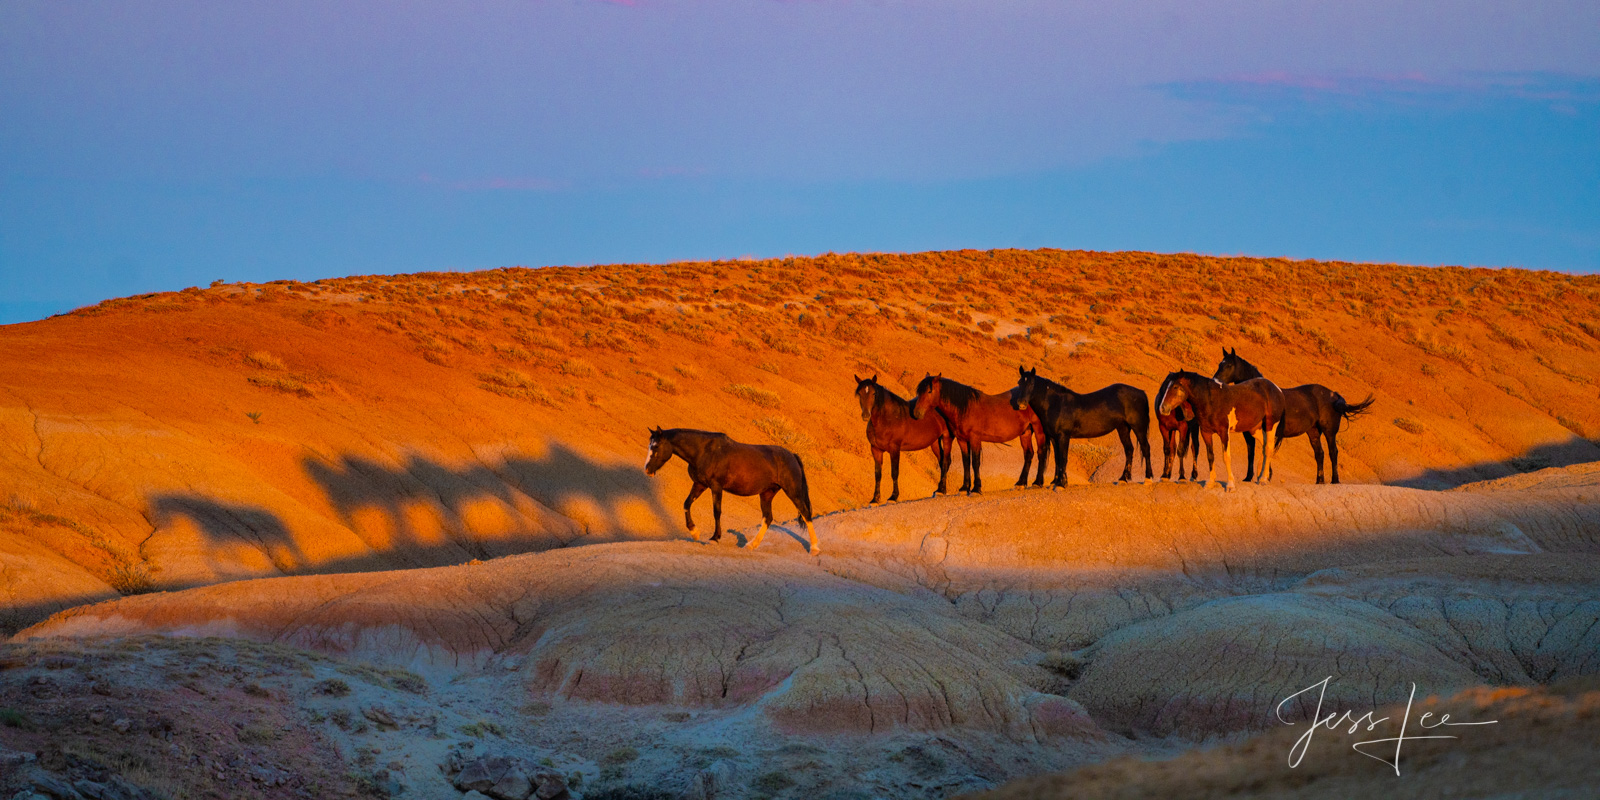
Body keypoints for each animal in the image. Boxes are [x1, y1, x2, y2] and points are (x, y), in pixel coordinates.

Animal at [640, 428, 819, 553]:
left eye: (656, 446)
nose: (647, 470)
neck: (704, 451)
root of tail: (792, 455)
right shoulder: (699, 484)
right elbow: (686, 504)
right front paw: (694, 532)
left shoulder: (716, 486)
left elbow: (716, 511)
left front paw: (714, 537)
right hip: (767, 494)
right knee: (767, 518)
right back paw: (751, 545)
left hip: (793, 491)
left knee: (805, 513)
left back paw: (814, 548)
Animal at [915, 374, 1049, 492]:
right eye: (919, 392)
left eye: (929, 391)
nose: (917, 413)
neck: (965, 409)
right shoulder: (962, 440)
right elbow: (966, 462)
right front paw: (964, 488)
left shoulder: (975, 439)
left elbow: (975, 462)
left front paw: (976, 488)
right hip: (1026, 432)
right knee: (1028, 454)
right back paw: (1021, 483)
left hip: (1038, 429)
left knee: (1041, 452)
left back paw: (1037, 483)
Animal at [1011, 368, 1152, 486]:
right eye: (1019, 383)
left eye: (1031, 384)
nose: (1021, 403)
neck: (1056, 404)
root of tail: (1142, 393)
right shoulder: (1054, 438)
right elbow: (1057, 459)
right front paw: (1055, 482)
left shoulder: (1063, 436)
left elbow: (1063, 458)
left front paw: (1062, 484)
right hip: (1123, 428)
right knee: (1129, 450)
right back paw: (1123, 478)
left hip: (1138, 427)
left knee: (1145, 448)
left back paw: (1148, 478)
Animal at [1152, 371, 1286, 489]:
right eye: (1166, 386)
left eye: (1175, 387)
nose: (1162, 408)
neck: (1211, 400)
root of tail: (1277, 389)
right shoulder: (1206, 433)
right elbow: (1210, 456)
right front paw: (1211, 482)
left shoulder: (1224, 433)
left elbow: (1226, 457)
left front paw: (1230, 485)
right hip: (1254, 429)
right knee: (1265, 447)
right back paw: (1264, 476)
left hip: (1270, 425)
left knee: (1268, 448)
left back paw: (1263, 479)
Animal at [1209, 348, 1376, 483]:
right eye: (1219, 364)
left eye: (1229, 365)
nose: (1215, 381)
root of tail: (1334, 395)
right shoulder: (1249, 434)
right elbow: (1252, 453)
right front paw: (1249, 477)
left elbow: (1265, 449)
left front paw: (1266, 476)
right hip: (1313, 431)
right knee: (1319, 454)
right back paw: (1319, 481)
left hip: (1329, 431)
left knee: (1332, 452)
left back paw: (1335, 481)